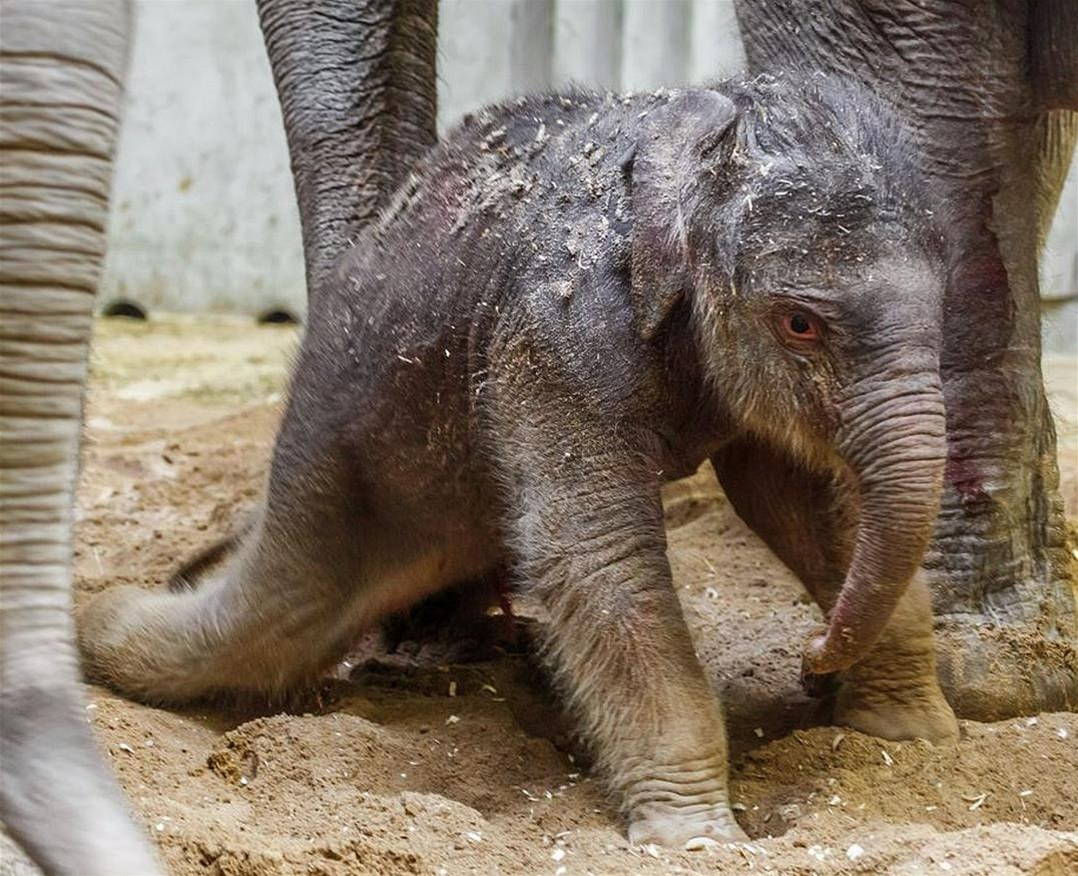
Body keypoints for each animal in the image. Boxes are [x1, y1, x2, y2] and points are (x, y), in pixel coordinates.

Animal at [78, 73, 961, 848]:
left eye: (948, 299)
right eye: (800, 323)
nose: (810, 658)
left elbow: (801, 499)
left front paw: (911, 733)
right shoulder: (550, 339)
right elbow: (596, 551)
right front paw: (698, 839)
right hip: (333, 455)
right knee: (269, 630)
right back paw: (98, 622)